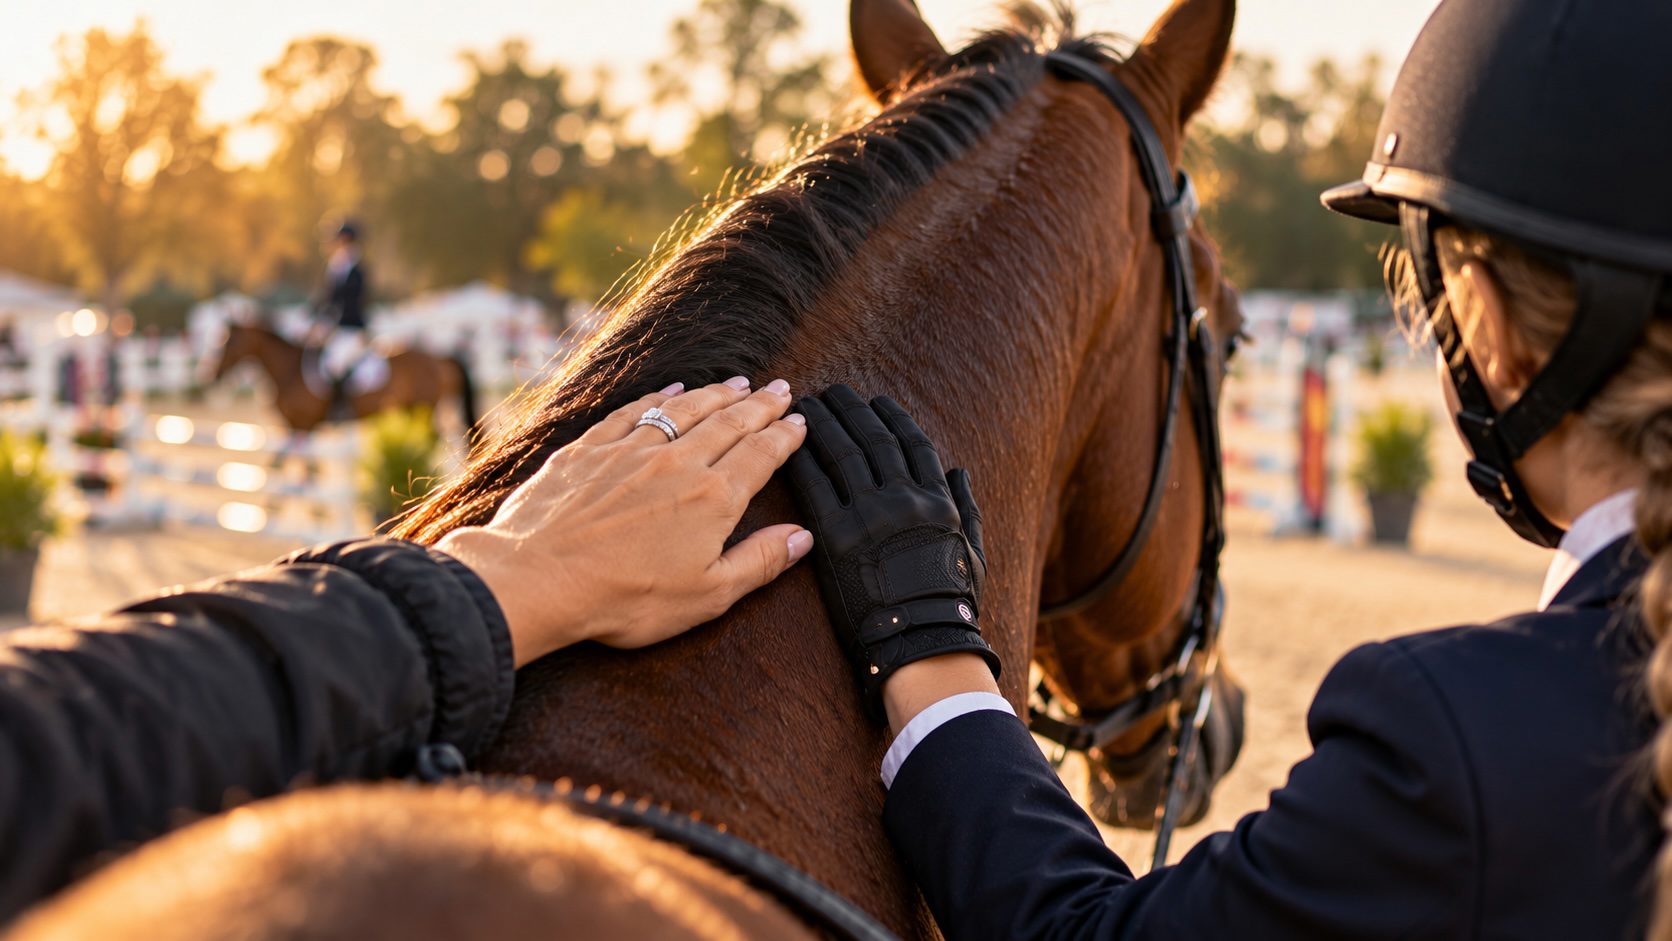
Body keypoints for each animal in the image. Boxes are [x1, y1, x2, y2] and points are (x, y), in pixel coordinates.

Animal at [205, 322, 479, 436]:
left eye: (229, 342)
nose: (211, 374)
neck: (289, 370)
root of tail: (438, 358)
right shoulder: (292, 426)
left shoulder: (303, 424)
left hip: (422, 410)